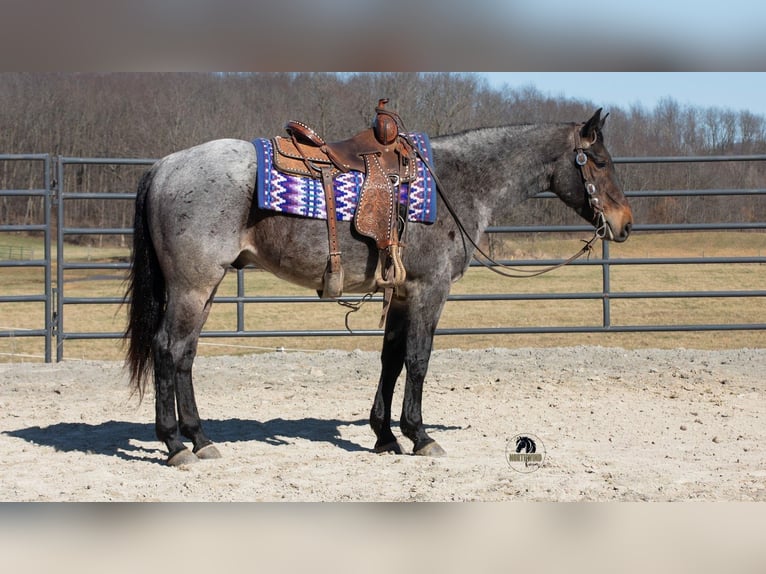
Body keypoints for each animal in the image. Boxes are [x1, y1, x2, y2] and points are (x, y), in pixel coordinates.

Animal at [124, 108, 633, 466]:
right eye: (600, 161)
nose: (625, 224)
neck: (455, 182)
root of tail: (166, 165)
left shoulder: (402, 293)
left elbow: (391, 360)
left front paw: (385, 436)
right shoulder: (430, 290)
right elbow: (418, 360)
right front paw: (421, 436)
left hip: (204, 289)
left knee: (185, 355)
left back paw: (200, 439)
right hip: (192, 287)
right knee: (168, 349)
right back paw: (175, 446)